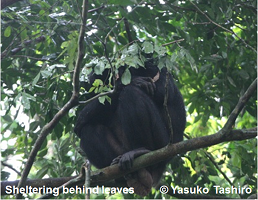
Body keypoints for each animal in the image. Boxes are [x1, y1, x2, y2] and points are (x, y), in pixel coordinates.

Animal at [74, 59, 185, 197]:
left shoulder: (159, 71)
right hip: (122, 150)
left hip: (163, 144)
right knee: (89, 131)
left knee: (131, 94)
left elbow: (162, 90)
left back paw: (141, 151)